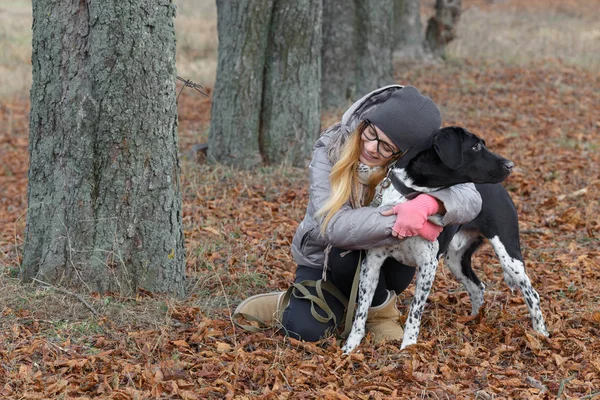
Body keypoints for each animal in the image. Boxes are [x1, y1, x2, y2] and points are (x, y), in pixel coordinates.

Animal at [342, 126, 548, 354]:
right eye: (475, 146)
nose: (510, 165)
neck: (410, 196)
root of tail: (501, 190)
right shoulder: (372, 263)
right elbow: (361, 310)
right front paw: (350, 346)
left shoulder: (428, 265)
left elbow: (414, 312)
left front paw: (408, 346)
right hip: (456, 260)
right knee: (477, 287)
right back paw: (474, 320)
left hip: (508, 255)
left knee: (532, 294)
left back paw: (540, 334)